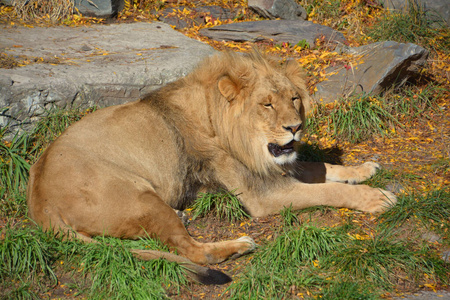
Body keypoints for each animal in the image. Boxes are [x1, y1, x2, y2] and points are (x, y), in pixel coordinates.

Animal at [26, 50, 396, 284]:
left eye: (294, 99)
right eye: (266, 104)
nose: (296, 127)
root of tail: (39, 203)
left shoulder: (271, 167)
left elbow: (321, 167)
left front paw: (363, 169)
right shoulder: (261, 196)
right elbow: (327, 189)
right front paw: (375, 198)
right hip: (140, 197)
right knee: (192, 251)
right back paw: (239, 245)